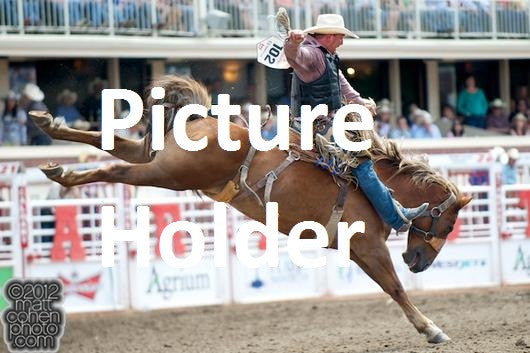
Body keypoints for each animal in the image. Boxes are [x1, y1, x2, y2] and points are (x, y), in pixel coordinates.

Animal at [29, 73, 470, 340]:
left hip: (160, 160)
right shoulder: (369, 246)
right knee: (116, 169)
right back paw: (64, 174)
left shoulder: (357, 250)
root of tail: (200, 119)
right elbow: (394, 286)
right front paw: (432, 329)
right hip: (168, 174)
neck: (374, 184)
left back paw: (50, 129)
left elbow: (388, 286)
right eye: (449, 225)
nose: (418, 262)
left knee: (118, 146)